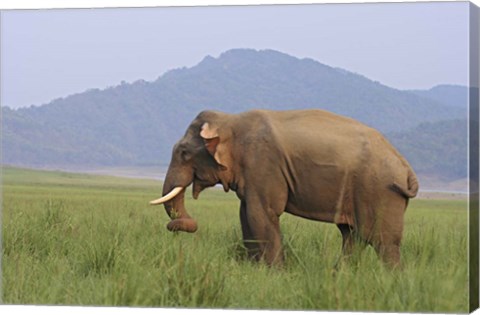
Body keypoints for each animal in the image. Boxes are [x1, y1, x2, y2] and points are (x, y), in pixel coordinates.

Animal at [149, 110, 416, 268]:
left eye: (184, 153)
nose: (174, 228)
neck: (231, 120)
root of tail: (406, 167)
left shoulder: (263, 164)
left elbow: (261, 214)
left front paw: (273, 272)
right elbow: (245, 214)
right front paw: (253, 269)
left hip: (380, 192)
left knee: (383, 242)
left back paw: (392, 280)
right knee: (353, 236)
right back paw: (342, 275)